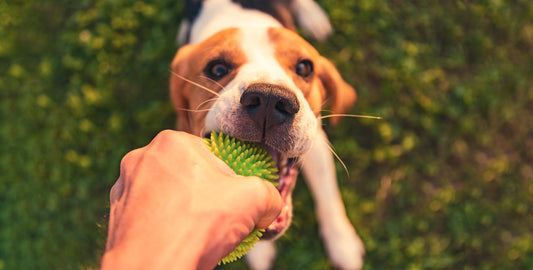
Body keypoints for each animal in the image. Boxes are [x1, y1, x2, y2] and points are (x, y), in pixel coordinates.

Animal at [170, 1, 366, 268]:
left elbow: (328, 198)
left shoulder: (316, 144)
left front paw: (342, 244)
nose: (269, 99)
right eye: (217, 68)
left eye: (304, 67)